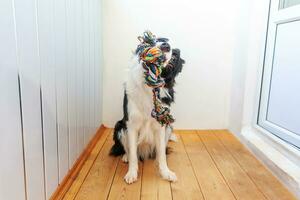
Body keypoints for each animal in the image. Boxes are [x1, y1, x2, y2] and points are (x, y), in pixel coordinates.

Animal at [110, 31, 185, 184]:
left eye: (174, 56)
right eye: (155, 40)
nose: (165, 46)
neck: (149, 88)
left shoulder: (161, 124)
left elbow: (162, 154)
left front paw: (165, 172)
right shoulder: (131, 124)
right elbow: (133, 153)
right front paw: (131, 173)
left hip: (169, 127)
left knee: (159, 150)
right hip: (119, 126)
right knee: (127, 149)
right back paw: (125, 157)